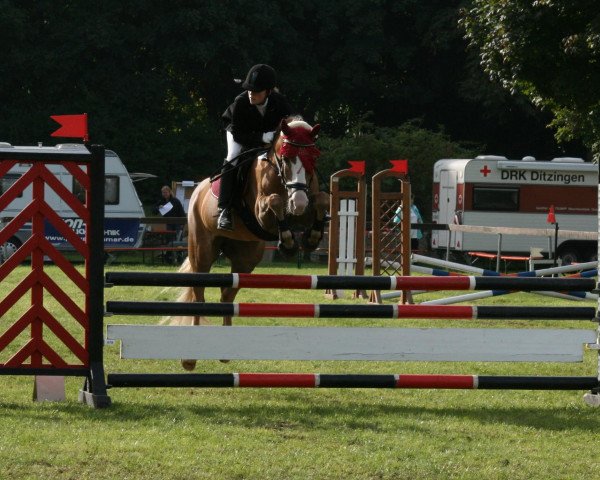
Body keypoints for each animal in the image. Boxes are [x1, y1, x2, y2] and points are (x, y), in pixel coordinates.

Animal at [171, 117, 330, 372]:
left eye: (312, 159)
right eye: (286, 159)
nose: (298, 203)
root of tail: (197, 190)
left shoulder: (307, 203)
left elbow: (322, 199)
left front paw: (311, 238)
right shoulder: (261, 212)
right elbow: (275, 201)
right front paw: (288, 242)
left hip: (246, 259)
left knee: (227, 295)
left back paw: (226, 351)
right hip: (202, 251)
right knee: (199, 295)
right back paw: (190, 359)